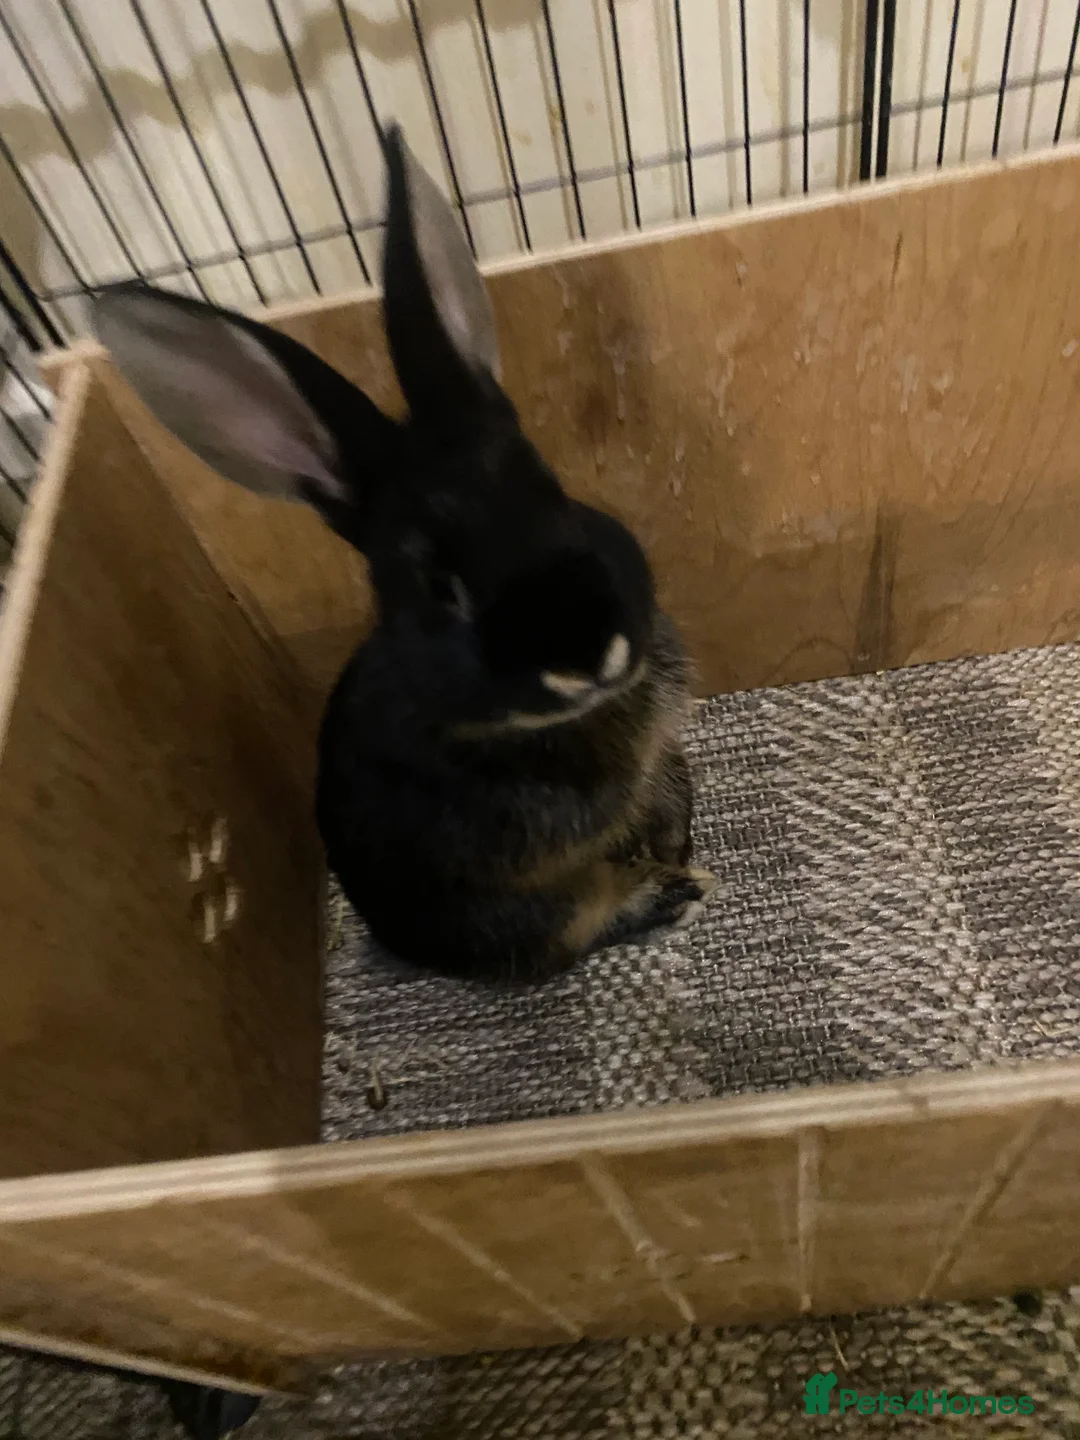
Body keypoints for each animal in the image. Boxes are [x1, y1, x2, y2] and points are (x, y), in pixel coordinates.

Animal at [92, 125, 719, 985]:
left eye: (556, 496)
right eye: (438, 585)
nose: (589, 655)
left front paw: (678, 840)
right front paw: (673, 876)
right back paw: (669, 895)